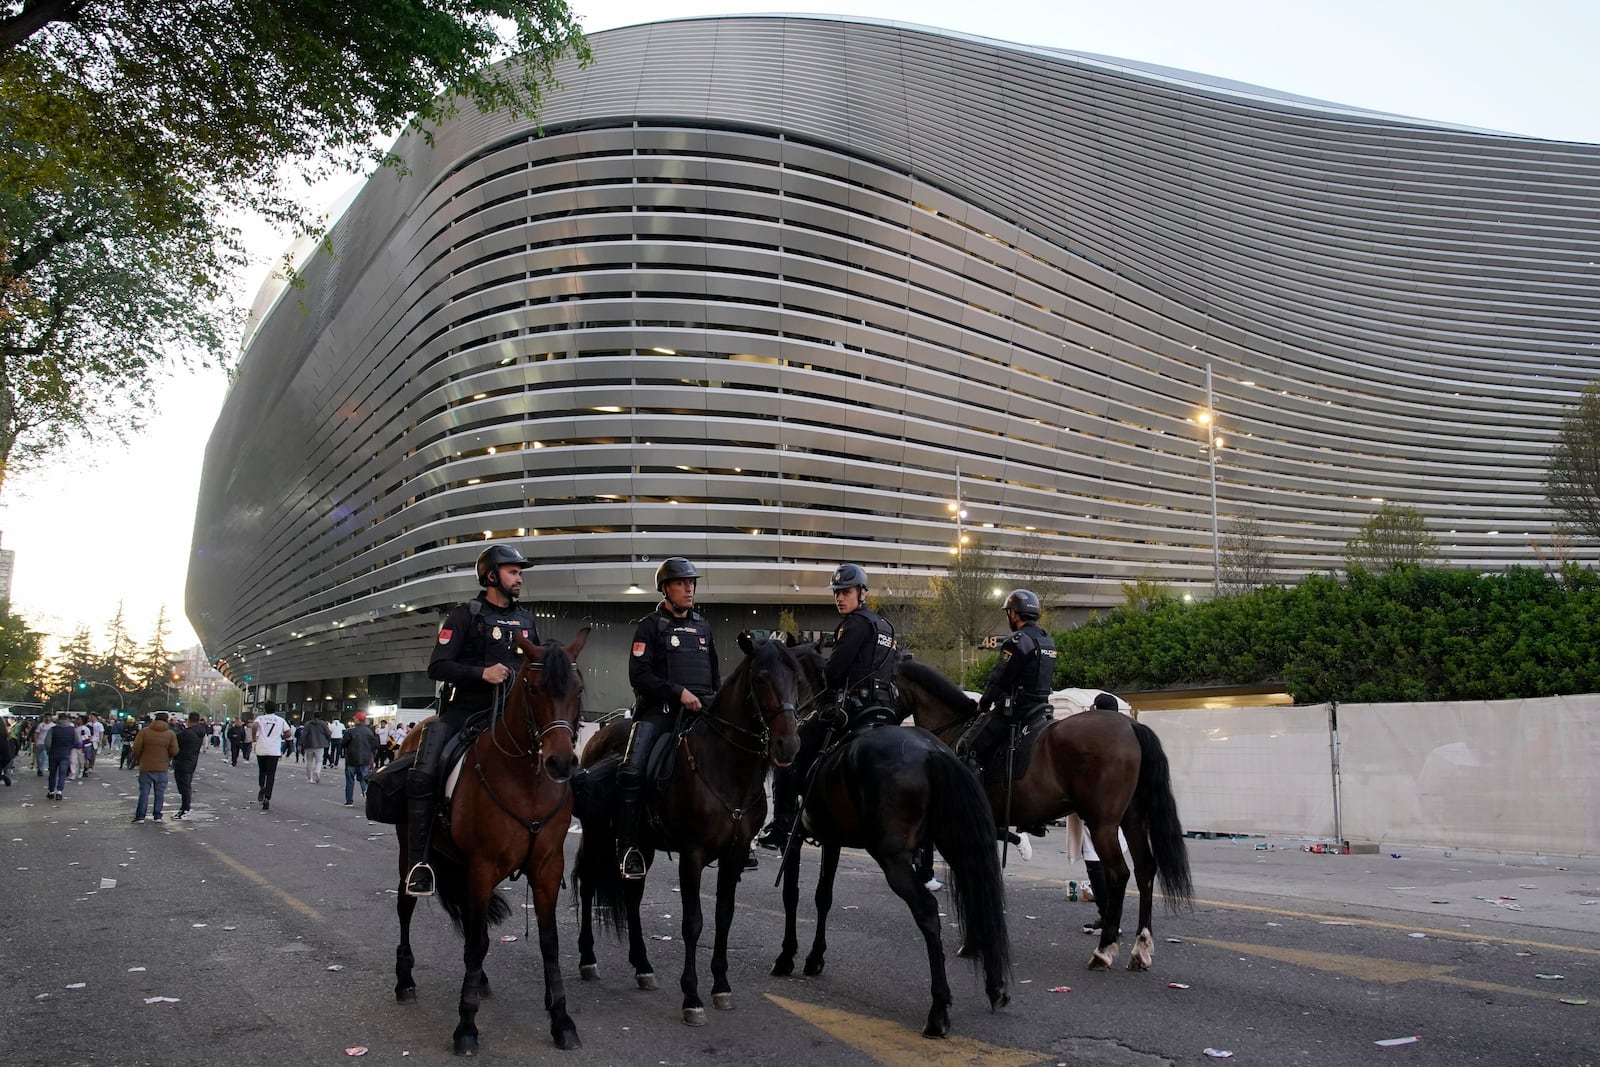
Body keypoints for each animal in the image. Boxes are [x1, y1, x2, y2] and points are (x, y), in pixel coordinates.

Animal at [390, 630, 592, 1055]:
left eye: (578, 689)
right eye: (532, 688)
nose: (561, 762)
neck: (527, 781)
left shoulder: (547, 868)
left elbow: (548, 943)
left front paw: (561, 1020)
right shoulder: (483, 866)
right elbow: (479, 941)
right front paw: (466, 1026)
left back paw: (477, 979)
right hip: (409, 853)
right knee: (406, 906)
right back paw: (404, 980)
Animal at [572, 633, 800, 1023]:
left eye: (796, 678)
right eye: (760, 678)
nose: (789, 744)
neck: (728, 769)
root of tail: (602, 735)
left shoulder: (735, 854)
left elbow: (724, 915)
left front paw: (721, 985)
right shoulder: (693, 854)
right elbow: (693, 922)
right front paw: (692, 997)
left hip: (642, 843)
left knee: (632, 894)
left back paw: (643, 965)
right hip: (598, 832)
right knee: (588, 884)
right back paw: (588, 958)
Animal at [896, 655, 1196, 972]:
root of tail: (1130, 726)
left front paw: (973, 943)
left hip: (1103, 824)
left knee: (1118, 874)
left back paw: (1104, 950)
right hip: (1133, 819)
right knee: (1145, 870)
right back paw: (1140, 948)